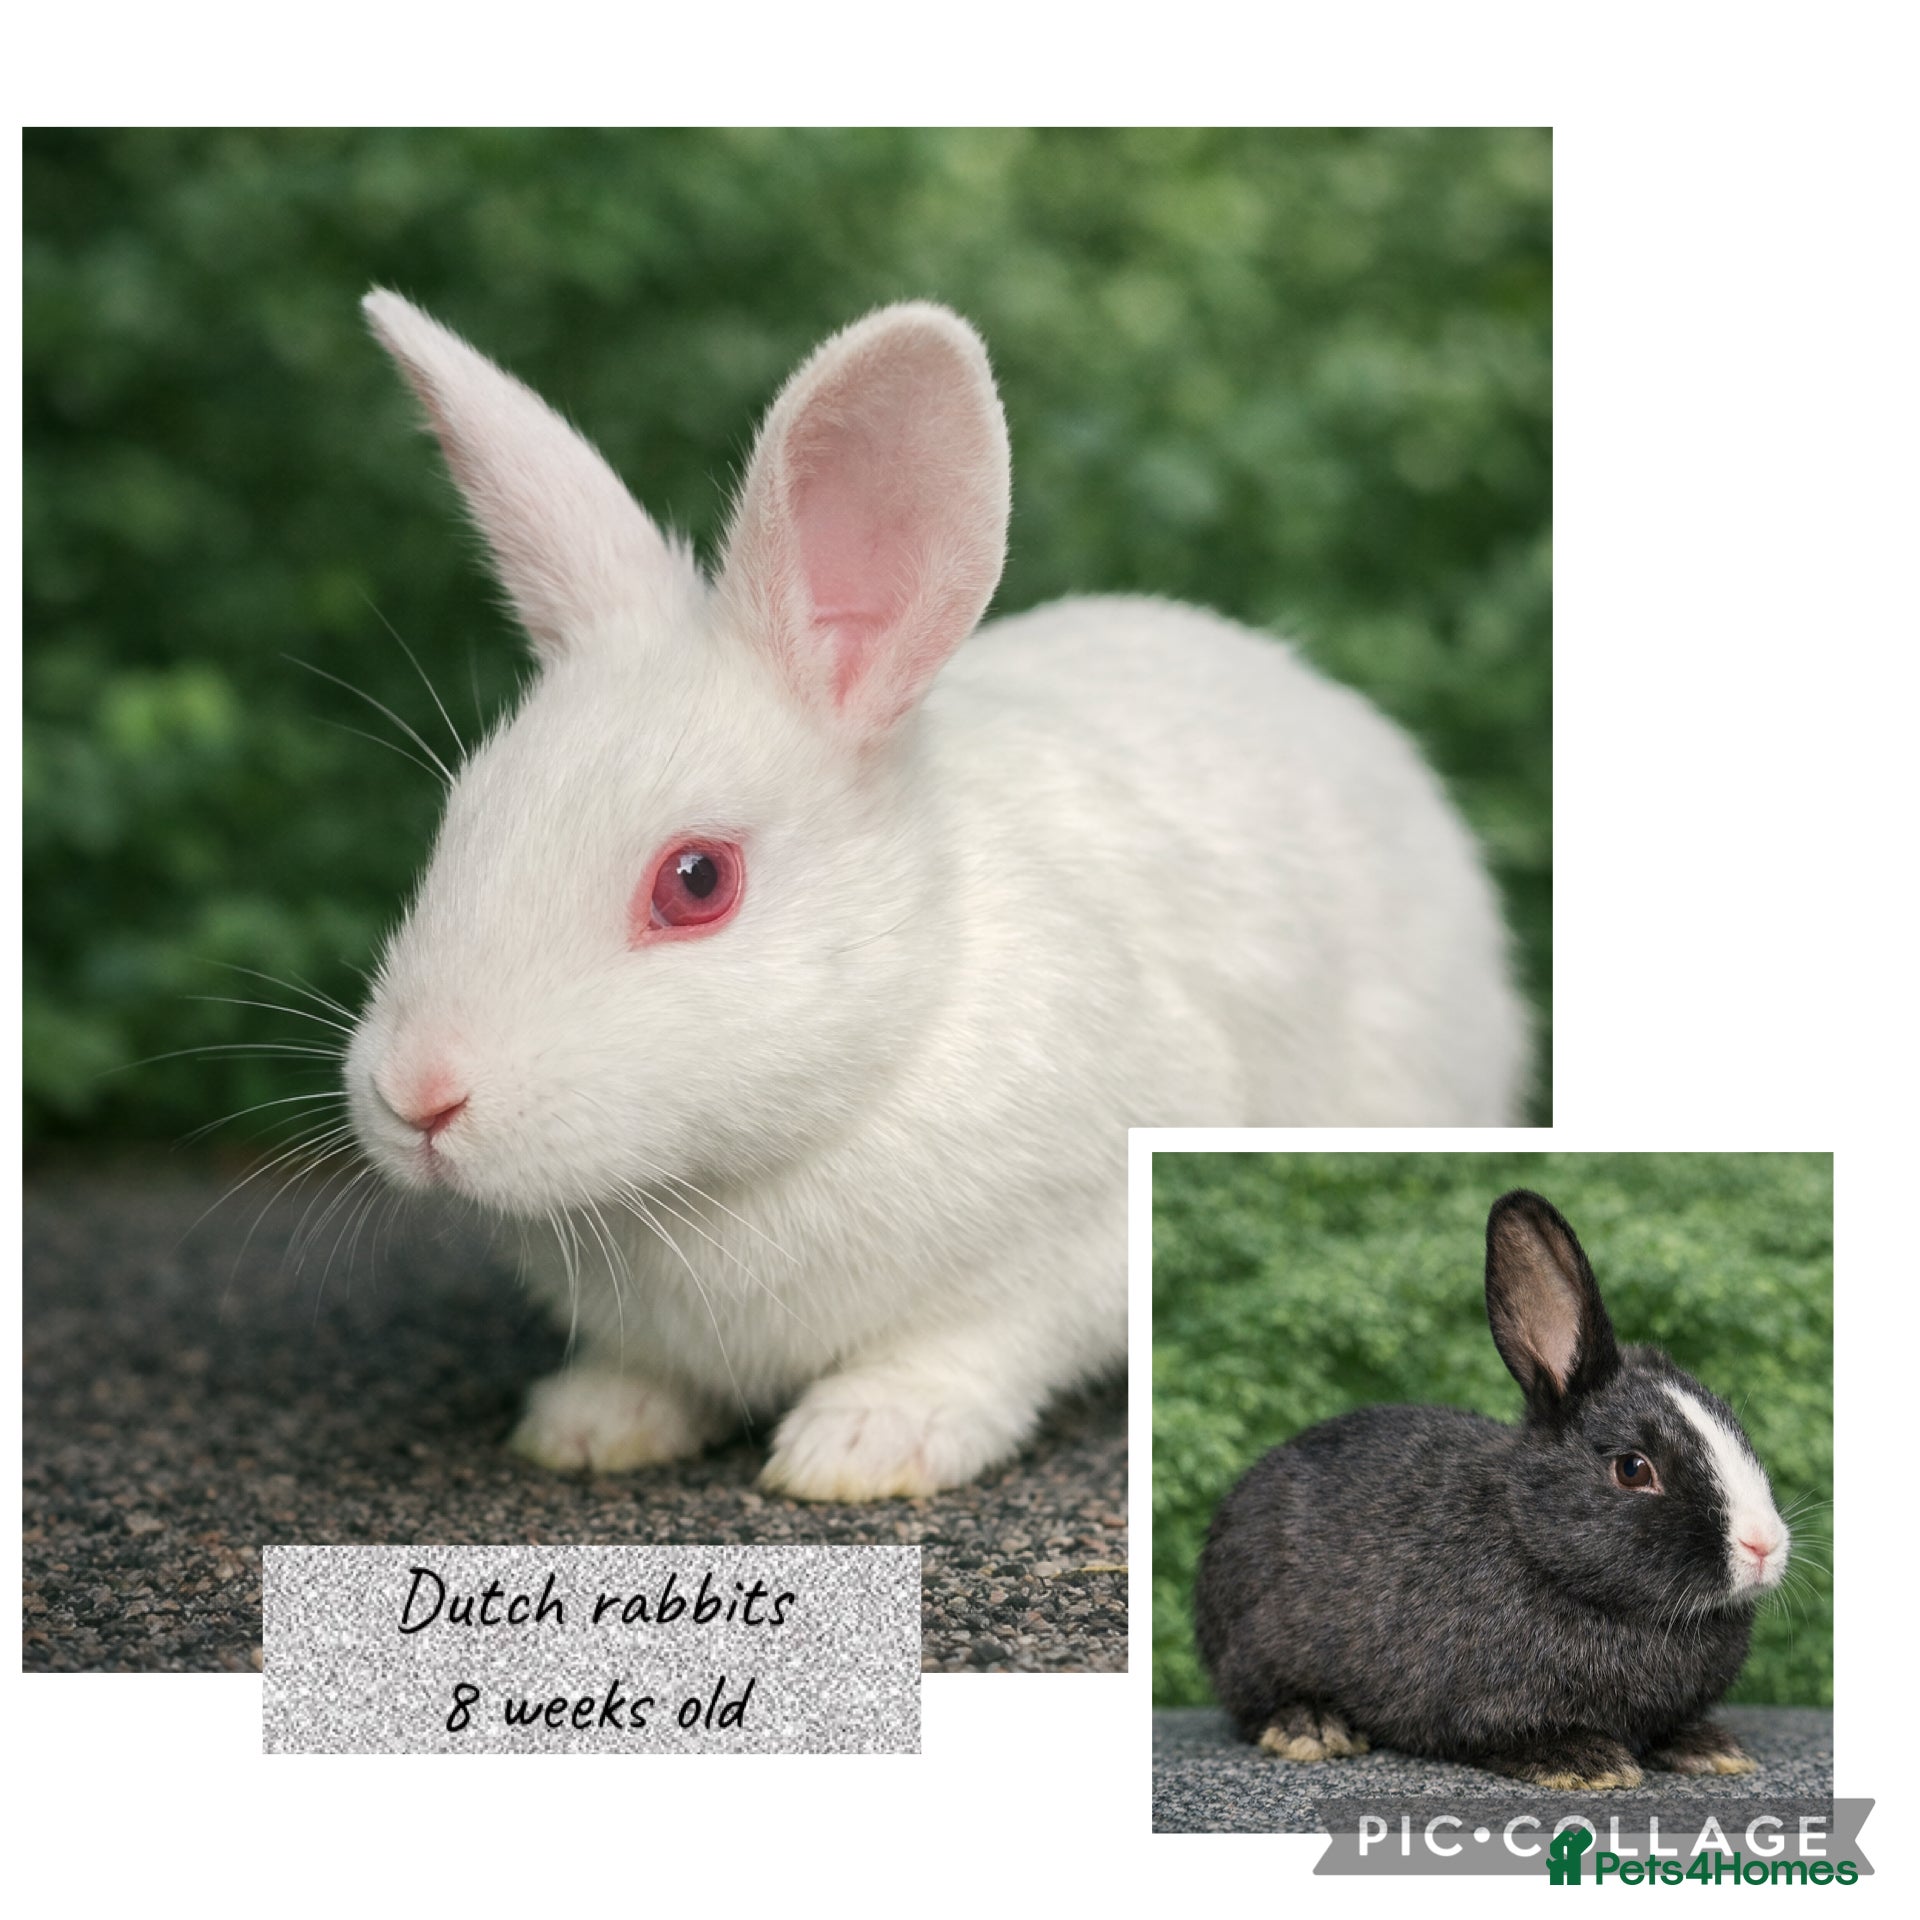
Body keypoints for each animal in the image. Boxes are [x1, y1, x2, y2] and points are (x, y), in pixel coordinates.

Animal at [342, 289, 1528, 1502]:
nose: (418, 1095)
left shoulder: (1069, 1244)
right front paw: (590, 1424)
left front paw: (863, 1443)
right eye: (459, 818)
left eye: (696, 880)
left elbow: (972, 1348)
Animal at [1194, 1190, 1791, 1788]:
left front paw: (1709, 1748)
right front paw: (1586, 1762)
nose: (1763, 1545)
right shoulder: (1475, 1709)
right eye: (1632, 1469)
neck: (1539, 1547)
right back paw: (1312, 1728)